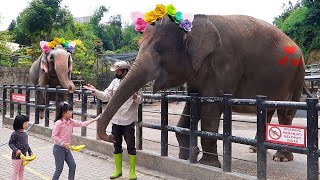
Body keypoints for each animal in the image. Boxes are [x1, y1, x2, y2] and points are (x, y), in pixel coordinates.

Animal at [97, 14, 310, 167]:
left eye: (159, 50)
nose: (110, 137)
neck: (193, 26)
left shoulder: (224, 64)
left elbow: (210, 106)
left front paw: (208, 164)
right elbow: (192, 103)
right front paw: (186, 156)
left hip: (297, 75)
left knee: (285, 112)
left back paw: (281, 157)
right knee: (266, 110)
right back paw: (255, 150)